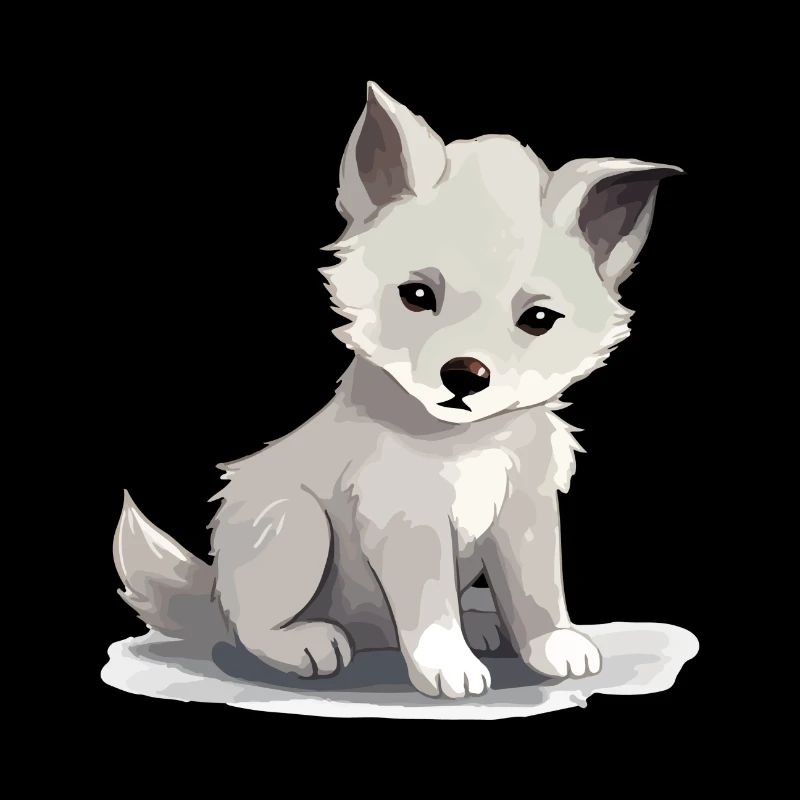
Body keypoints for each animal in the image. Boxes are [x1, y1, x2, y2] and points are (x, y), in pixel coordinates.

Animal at [114, 82, 681, 699]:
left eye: (537, 319)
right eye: (416, 295)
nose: (464, 376)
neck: (468, 443)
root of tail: (211, 589)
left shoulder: (526, 511)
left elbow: (538, 589)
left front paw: (552, 644)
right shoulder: (407, 520)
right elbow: (429, 605)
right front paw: (447, 665)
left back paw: (481, 624)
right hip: (293, 523)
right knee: (248, 625)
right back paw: (307, 643)